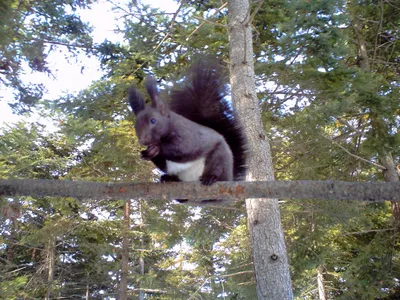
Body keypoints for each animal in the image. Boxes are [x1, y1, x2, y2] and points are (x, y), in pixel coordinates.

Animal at [128, 60, 247, 202]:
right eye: (136, 125)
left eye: (153, 120)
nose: (143, 140)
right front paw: (147, 153)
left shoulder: (188, 135)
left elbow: (184, 149)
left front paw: (157, 148)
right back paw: (169, 179)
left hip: (220, 158)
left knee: (217, 169)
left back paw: (211, 178)